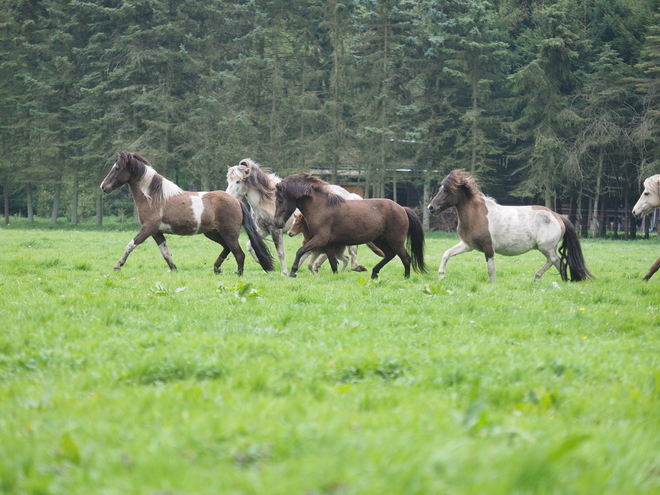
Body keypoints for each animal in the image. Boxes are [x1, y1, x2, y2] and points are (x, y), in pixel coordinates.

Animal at [100, 152, 274, 276]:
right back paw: (216, 268)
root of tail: (237, 201)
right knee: (227, 248)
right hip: (213, 233)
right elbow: (165, 252)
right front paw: (174, 269)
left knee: (239, 254)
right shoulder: (157, 232)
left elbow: (131, 244)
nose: (103, 187)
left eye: (116, 168)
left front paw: (117, 266)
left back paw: (238, 274)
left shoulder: (148, 228)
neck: (154, 197)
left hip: (228, 233)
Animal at [227, 159, 368, 276]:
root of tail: (350, 195)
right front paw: (263, 264)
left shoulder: (275, 230)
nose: (228, 197)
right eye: (229, 181)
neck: (266, 201)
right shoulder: (263, 230)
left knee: (350, 250)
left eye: (238, 181)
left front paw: (283, 272)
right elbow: (249, 245)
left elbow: (280, 252)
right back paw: (317, 266)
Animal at [274, 173, 428, 280]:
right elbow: (333, 262)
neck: (320, 207)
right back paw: (374, 274)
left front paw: (293, 272)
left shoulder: (319, 239)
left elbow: (300, 251)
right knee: (390, 254)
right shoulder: (327, 244)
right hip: (380, 239)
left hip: (395, 240)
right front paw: (336, 276)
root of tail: (402, 209)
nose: (277, 223)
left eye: (280, 200)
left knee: (405, 258)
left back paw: (406, 277)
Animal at [426, 170, 596, 284]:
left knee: (553, 259)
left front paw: (492, 285)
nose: (431, 208)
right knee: (559, 262)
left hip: (545, 247)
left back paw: (537, 277)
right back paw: (564, 281)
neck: (477, 214)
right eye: (441, 189)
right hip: (549, 248)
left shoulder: (488, 248)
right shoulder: (468, 245)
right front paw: (441, 276)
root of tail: (558, 216)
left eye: (446, 190)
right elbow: (446, 254)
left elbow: (491, 269)